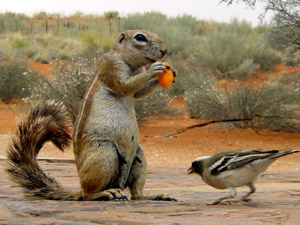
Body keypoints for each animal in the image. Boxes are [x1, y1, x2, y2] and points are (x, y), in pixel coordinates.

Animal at [6, 29, 176, 200]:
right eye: (140, 37)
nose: (165, 50)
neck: (129, 63)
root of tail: (80, 189)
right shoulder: (110, 67)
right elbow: (124, 86)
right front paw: (155, 70)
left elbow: (139, 93)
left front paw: (169, 74)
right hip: (105, 152)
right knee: (89, 194)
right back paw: (105, 193)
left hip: (138, 155)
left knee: (136, 194)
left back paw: (155, 196)